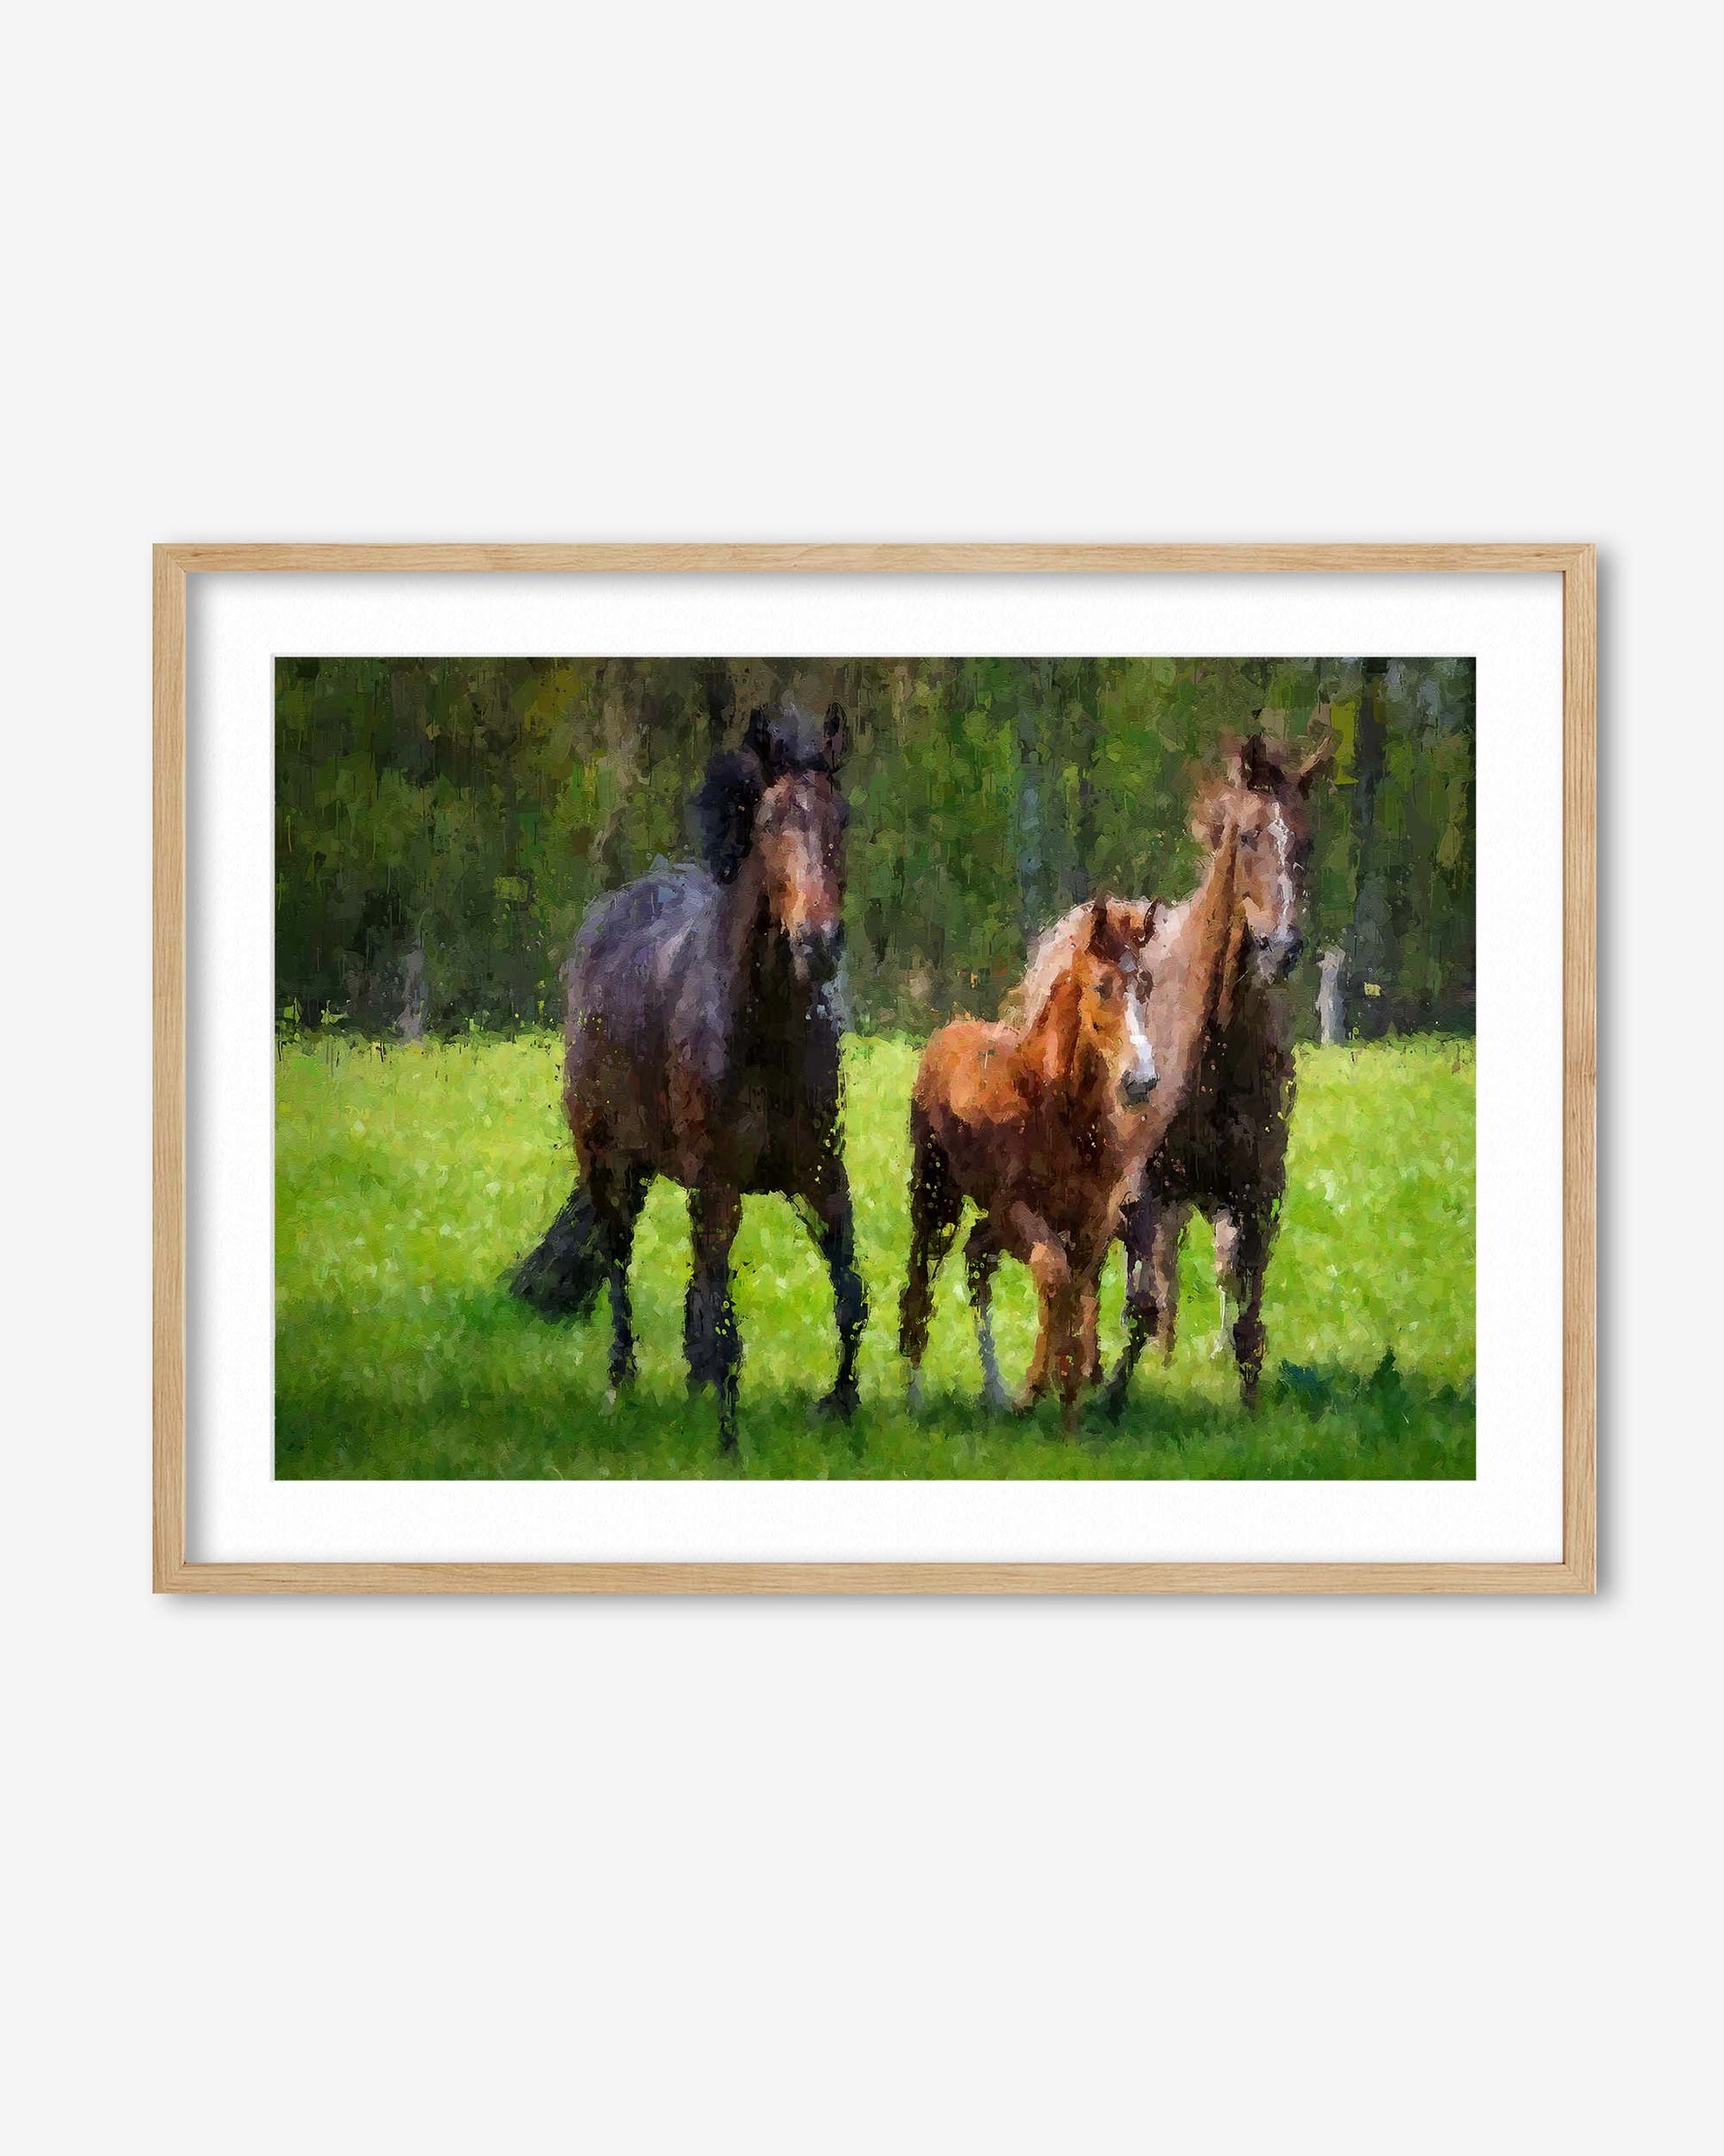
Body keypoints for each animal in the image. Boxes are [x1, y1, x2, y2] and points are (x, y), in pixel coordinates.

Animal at [511, 703, 864, 1452]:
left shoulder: (821, 1173)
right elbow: (725, 1318)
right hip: (608, 1163)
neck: (763, 1034)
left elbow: (849, 1293)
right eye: (770, 821)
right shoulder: (718, 1182)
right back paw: (622, 1383)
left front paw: (841, 1405)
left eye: (841, 816)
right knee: (620, 1262)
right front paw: (729, 1443)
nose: (818, 943)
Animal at [897, 897, 1166, 1427]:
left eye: (1145, 985)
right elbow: (1053, 1275)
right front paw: (1044, 1388)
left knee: (977, 1260)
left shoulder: (1092, 1222)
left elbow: (1076, 1294)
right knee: (923, 1277)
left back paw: (996, 1392)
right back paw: (917, 1395)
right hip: (936, 1197)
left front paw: (1066, 1399)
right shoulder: (1016, 1211)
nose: (1141, 1081)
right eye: (1102, 987)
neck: (1056, 1110)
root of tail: (949, 1029)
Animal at [1017, 733, 1331, 1413]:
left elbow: (1244, 1309)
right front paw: (1110, 1397)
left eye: (1307, 838)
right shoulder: (1141, 1189)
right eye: (1248, 835)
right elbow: (1137, 1301)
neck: (1216, 1047)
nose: (1281, 948)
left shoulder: (1255, 1191)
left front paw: (1249, 1407)